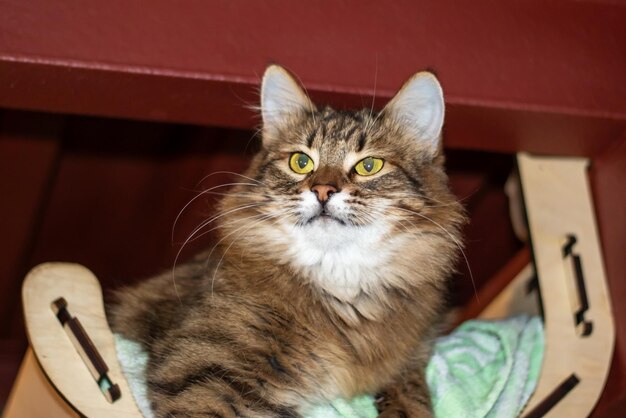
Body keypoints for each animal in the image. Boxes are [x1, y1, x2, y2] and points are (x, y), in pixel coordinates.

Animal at [108, 65, 464, 418]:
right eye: (300, 162)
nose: (322, 190)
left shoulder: (412, 358)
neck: (340, 284)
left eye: (369, 166)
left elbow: (413, 398)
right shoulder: (202, 367)